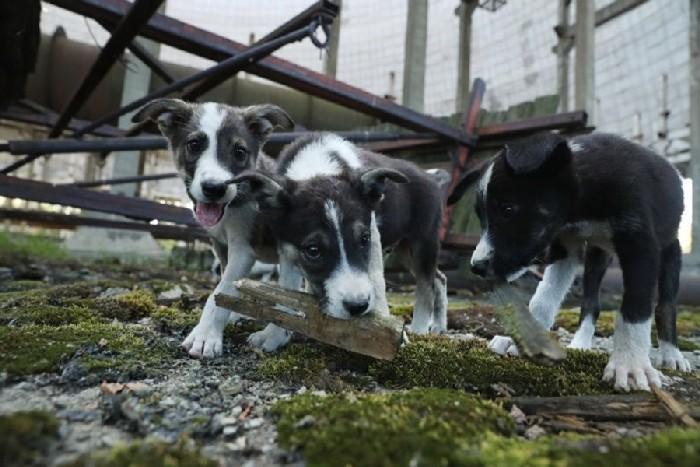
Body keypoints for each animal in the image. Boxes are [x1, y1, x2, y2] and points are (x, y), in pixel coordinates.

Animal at [132, 99, 296, 358]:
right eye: (194, 145)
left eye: (239, 152)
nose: (214, 188)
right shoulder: (221, 247)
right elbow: (225, 289)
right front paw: (228, 316)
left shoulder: (243, 250)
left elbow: (220, 292)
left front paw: (205, 336)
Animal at [448, 131, 688, 392]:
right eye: (481, 217)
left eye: (508, 209)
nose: (477, 266)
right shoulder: (565, 246)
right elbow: (543, 299)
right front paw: (527, 339)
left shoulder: (641, 246)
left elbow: (635, 308)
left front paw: (630, 365)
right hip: (596, 255)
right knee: (591, 303)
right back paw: (581, 342)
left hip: (670, 251)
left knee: (665, 306)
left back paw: (671, 354)